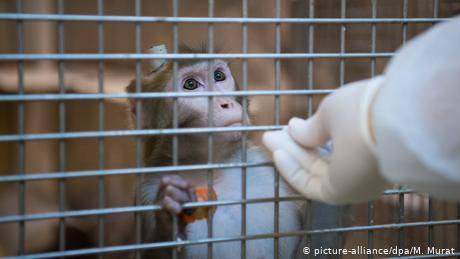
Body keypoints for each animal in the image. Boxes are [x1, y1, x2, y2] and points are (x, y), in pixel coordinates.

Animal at [126, 45, 306, 258]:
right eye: (190, 84)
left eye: (218, 76)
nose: (226, 103)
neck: (214, 171)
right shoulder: (147, 192)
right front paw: (170, 215)